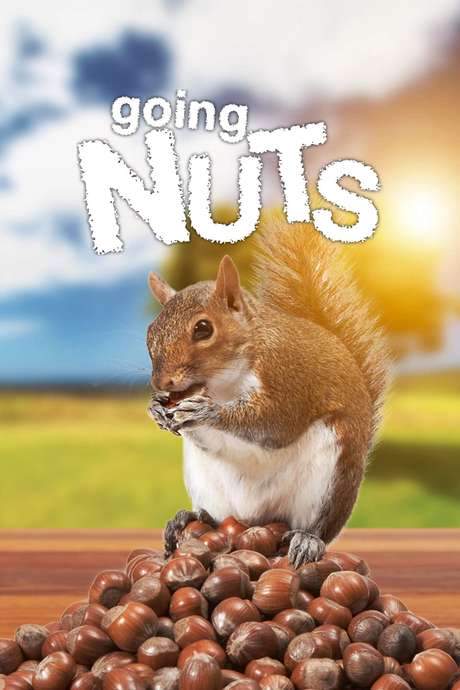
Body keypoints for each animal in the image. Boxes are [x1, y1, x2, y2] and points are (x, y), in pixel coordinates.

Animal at [146, 221, 390, 566]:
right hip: (207, 484)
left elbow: (275, 424)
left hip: (330, 478)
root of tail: (255, 519)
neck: (223, 384)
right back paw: (188, 519)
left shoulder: (289, 377)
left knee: (318, 526)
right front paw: (156, 409)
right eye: (150, 332)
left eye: (203, 329)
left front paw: (207, 412)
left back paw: (307, 541)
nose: (161, 383)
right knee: (216, 518)